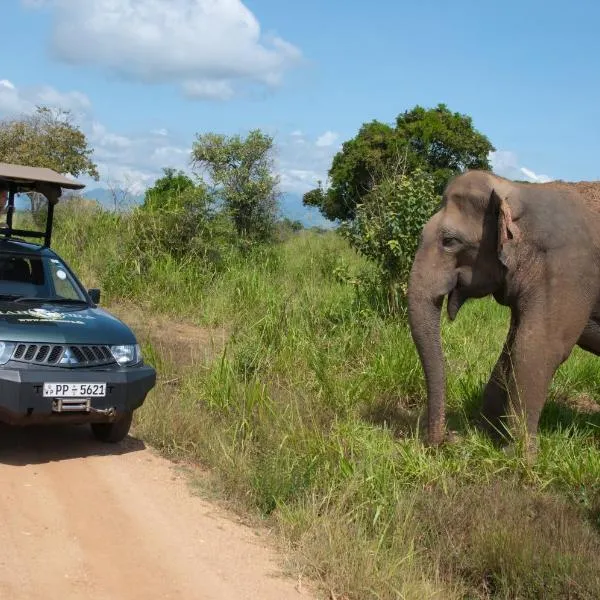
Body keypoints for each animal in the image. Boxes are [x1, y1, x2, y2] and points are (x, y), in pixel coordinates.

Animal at [406, 169, 600, 450]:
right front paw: (486, 435)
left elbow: (536, 349)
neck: (516, 190)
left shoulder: (568, 270)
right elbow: (510, 348)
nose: (443, 440)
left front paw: (519, 454)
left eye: (449, 241)